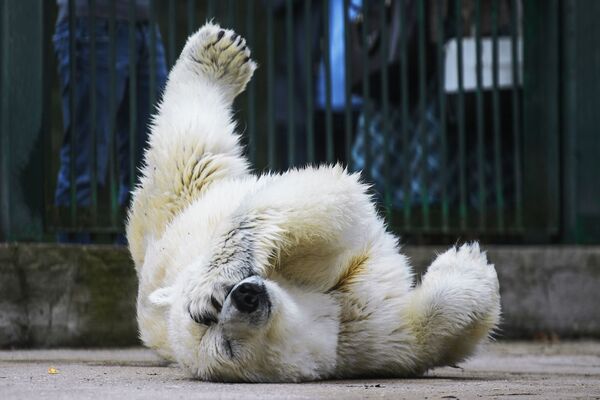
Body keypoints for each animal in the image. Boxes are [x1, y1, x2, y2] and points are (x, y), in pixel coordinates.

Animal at [126, 21, 502, 382]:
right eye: (225, 344)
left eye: (212, 317)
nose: (246, 296)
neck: (319, 308)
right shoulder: (360, 336)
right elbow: (416, 333)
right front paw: (468, 265)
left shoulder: (312, 280)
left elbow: (318, 196)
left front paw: (209, 286)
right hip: (175, 203)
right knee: (188, 151)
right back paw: (217, 57)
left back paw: (217, 51)